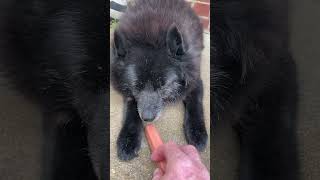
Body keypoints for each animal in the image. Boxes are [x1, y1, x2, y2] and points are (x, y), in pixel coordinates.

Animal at [111, 0, 209, 160]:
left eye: (163, 85)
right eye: (136, 86)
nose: (147, 118)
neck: (150, 36)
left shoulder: (195, 81)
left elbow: (195, 104)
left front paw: (197, 131)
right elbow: (131, 109)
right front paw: (128, 138)